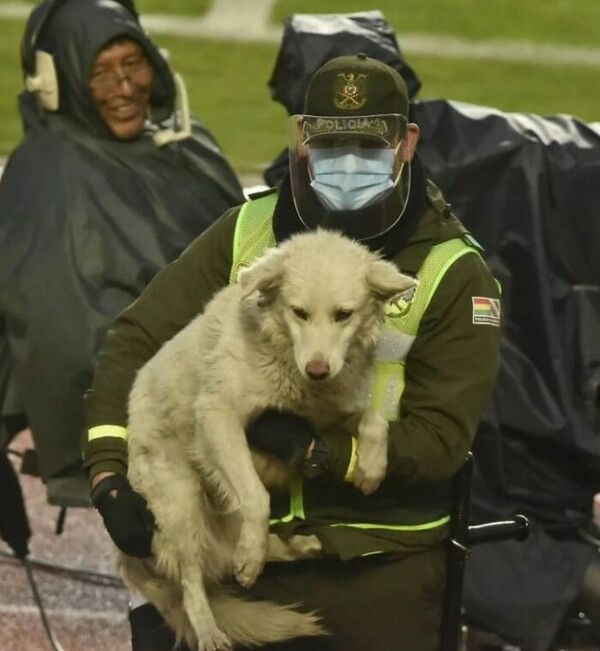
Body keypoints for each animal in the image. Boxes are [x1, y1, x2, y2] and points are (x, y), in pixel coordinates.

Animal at [119, 227, 414, 648]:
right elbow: (255, 499)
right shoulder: (218, 416)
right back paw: (211, 627)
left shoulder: (330, 413)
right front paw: (251, 558)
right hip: (181, 504)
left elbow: (375, 420)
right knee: (193, 582)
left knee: (228, 557)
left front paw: (371, 468)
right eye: (299, 312)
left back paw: (302, 545)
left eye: (344, 315)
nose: (318, 369)